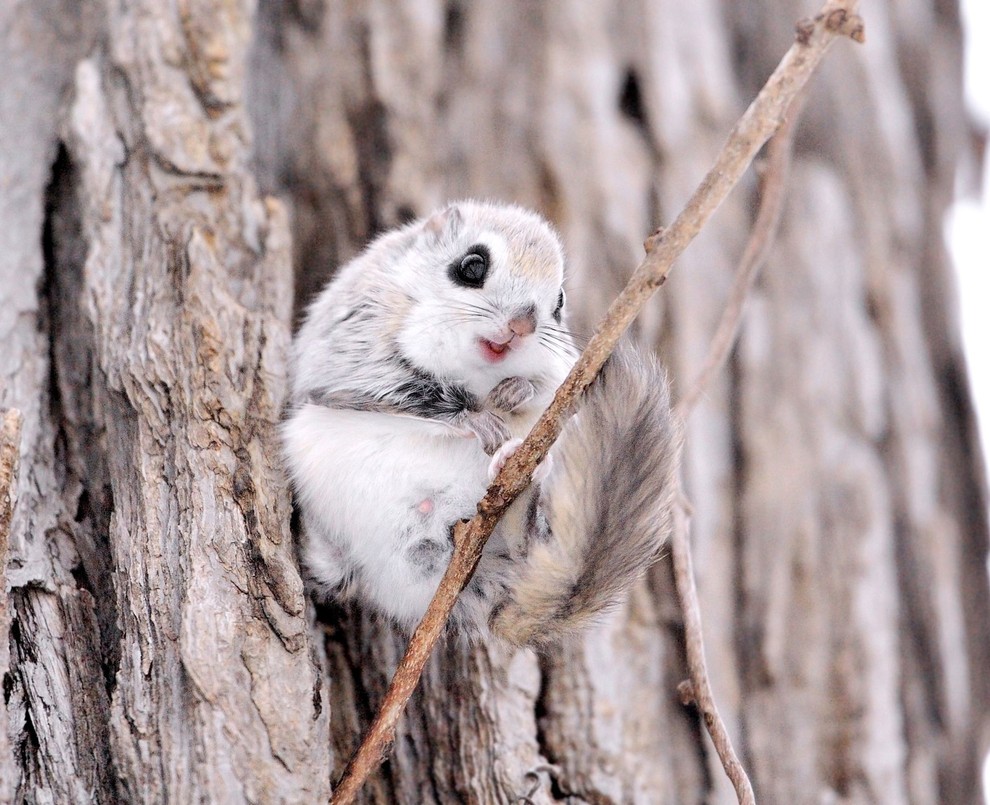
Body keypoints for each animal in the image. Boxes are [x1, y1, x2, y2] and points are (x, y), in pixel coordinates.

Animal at [280, 201, 680, 648]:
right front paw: (477, 418)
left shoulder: (562, 369)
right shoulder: (354, 348)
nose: (522, 325)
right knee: (334, 573)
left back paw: (517, 467)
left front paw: (517, 391)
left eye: (559, 302)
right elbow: (404, 392)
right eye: (471, 266)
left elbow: (549, 388)